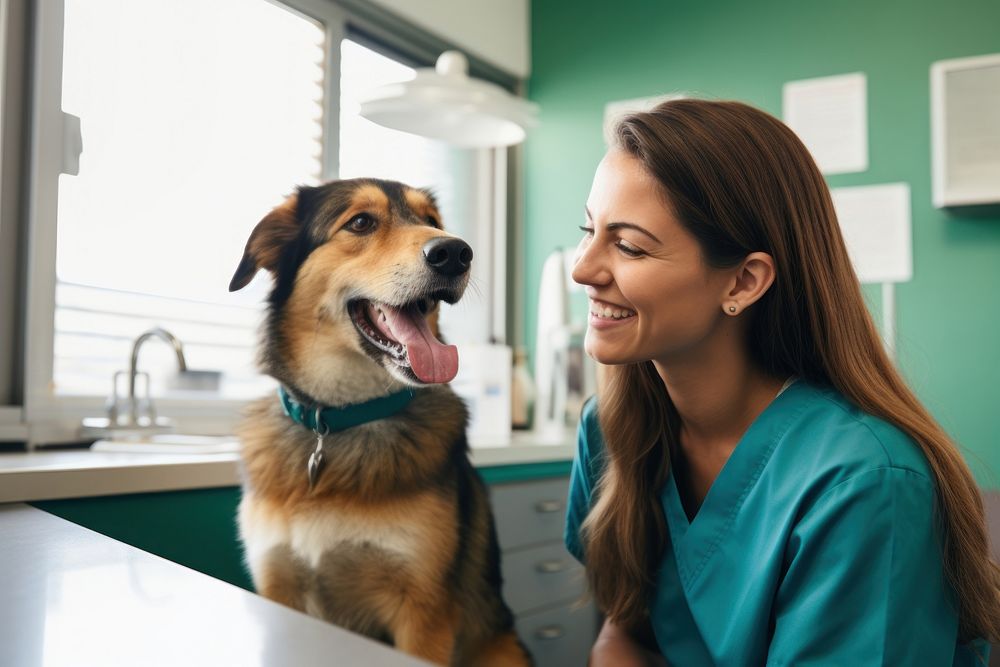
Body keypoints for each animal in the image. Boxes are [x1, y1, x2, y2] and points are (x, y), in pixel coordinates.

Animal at [229, 179, 536, 667]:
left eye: (432, 220)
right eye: (360, 222)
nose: (455, 252)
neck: (339, 421)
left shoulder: (422, 612)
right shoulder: (279, 590)